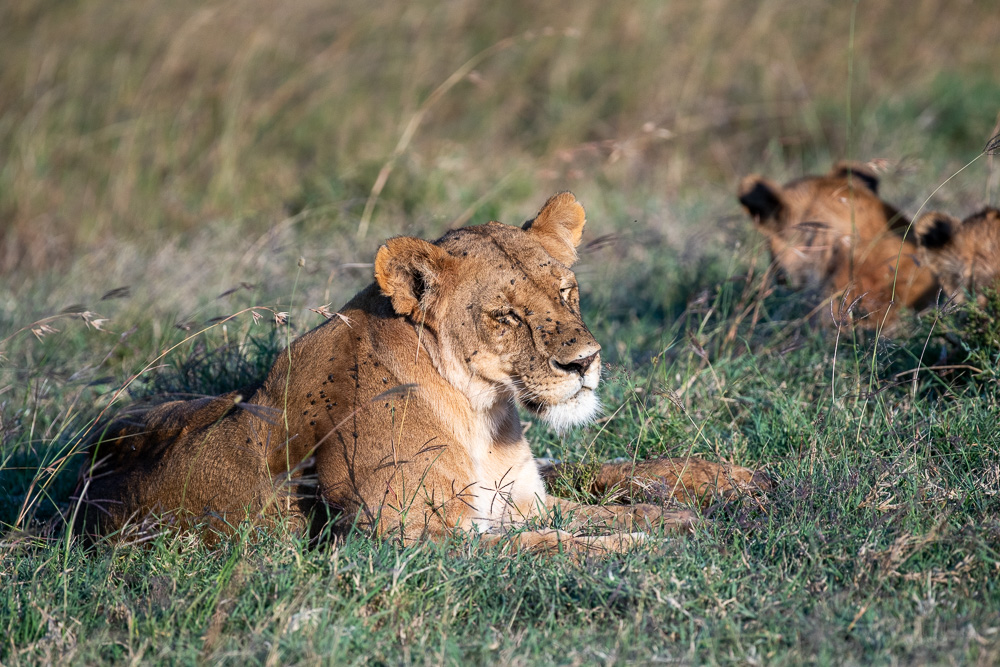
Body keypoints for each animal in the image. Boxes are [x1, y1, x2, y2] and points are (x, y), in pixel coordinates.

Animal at [74, 193, 769, 553]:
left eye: (566, 293)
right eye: (506, 316)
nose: (584, 363)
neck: (483, 413)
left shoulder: (524, 501)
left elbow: (591, 514)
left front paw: (672, 520)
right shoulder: (401, 539)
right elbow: (548, 543)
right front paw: (651, 546)